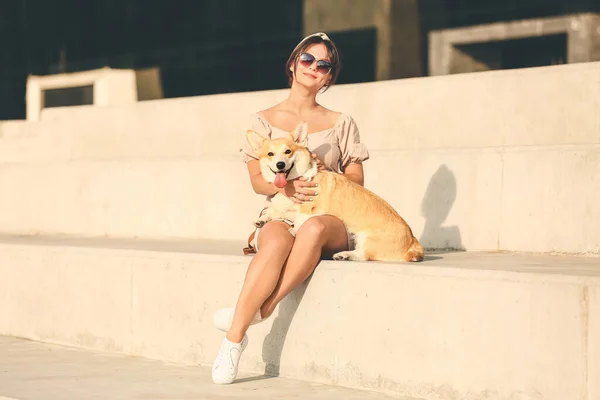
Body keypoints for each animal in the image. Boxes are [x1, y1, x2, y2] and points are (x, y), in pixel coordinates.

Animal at [246, 123, 424, 264]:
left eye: (288, 151)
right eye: (270, 154)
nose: (280, 164)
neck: (292, 182)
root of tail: (413, 242)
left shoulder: (312, 209)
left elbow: (301, 219)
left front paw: (294, 229)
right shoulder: (283, 207)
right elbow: (273, 211)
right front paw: (262, 219)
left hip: (368, 238)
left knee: (364, 255)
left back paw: (344, 254)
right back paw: (343, 256)